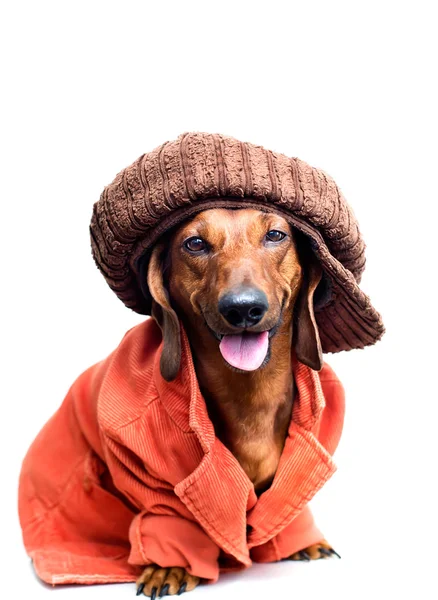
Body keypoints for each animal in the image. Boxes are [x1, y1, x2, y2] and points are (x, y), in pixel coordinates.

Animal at [135, 209, 338, 596]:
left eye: (275, 235)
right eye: (195, 243)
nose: (243, 309)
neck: (251, 393)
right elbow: (169, 512)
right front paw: (170, 566)